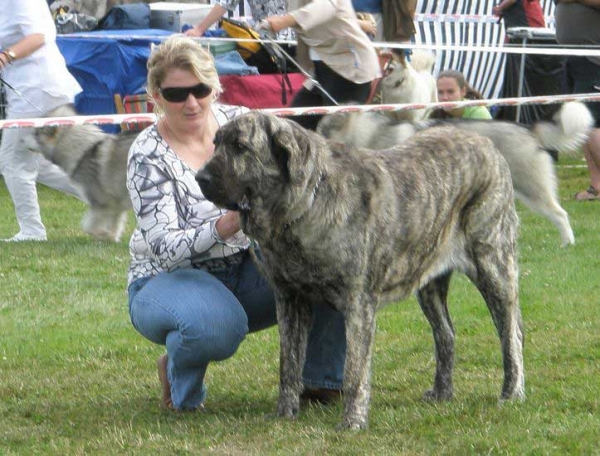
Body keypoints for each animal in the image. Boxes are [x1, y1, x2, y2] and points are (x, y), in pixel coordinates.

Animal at [26, 104, 137, 242]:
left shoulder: (102, 203)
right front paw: (111, 238)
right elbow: (114, 225)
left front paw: (102, 234)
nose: (20, 140)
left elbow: (88, 227)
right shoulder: (116, 206)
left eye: (35, 134)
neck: (83, 150)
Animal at [198, 112, 524, 430]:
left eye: (240, 147)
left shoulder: (358, 303)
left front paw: (352, 421)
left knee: (511, 332)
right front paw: (285, 413)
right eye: (216, 143)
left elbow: (355, 370)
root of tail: (485, 142)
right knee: (446, 333)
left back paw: (512, 392)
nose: (200, 177)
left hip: (492, 264)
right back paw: (443, 392)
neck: (308, 202)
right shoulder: (290, 299)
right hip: (428, 280)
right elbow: (288, 363)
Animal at [316, 102, 592, 248]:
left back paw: (567, 244)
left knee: (560, 214)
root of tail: (528, 129)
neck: (368, 135)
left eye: (320, 131)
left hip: (531, 188)